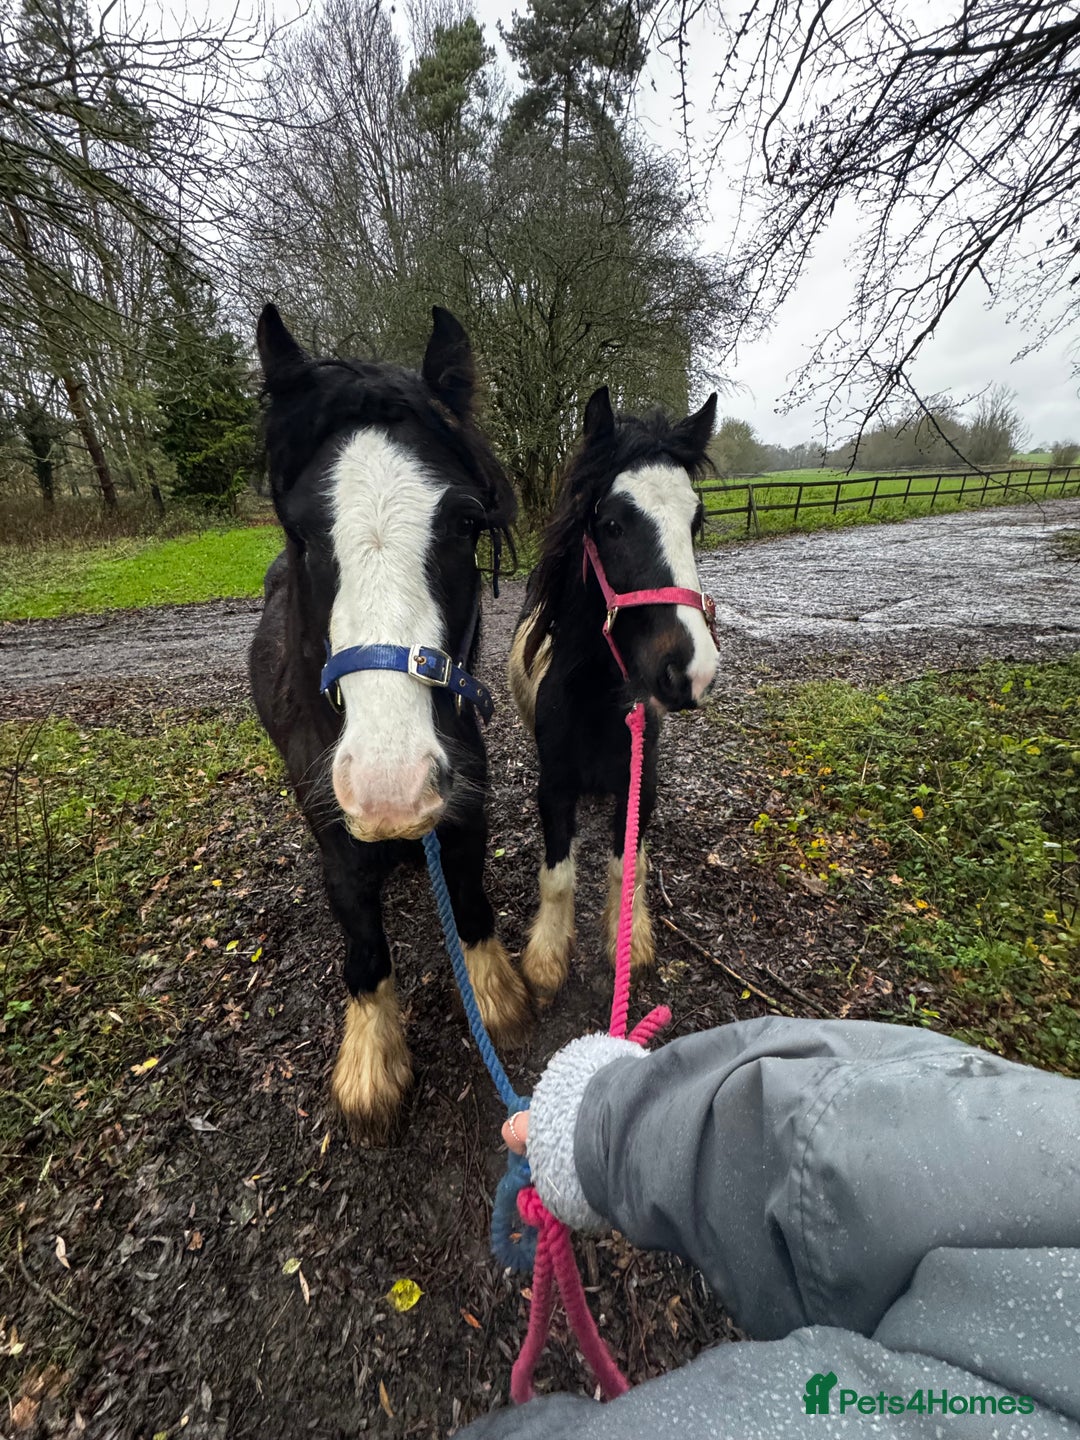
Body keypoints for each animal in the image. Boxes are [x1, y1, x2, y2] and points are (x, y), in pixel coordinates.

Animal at [250, 303, 529, 1142]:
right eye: (301, 533)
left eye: (466, 525)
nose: (389, 791)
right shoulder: (333, 826)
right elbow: (361, 941)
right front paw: (371, 1063)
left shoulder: (464, 799)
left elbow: (469, 901)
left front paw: (496, 997)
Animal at [507, 384, 720, 1004]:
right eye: (612, 524)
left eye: (696, 521)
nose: (692, 671)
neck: (598, 700)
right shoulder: (554, 788)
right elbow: (558, 876)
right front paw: (547, 961)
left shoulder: (640, 782)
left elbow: (629, 868)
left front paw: (631, 940)